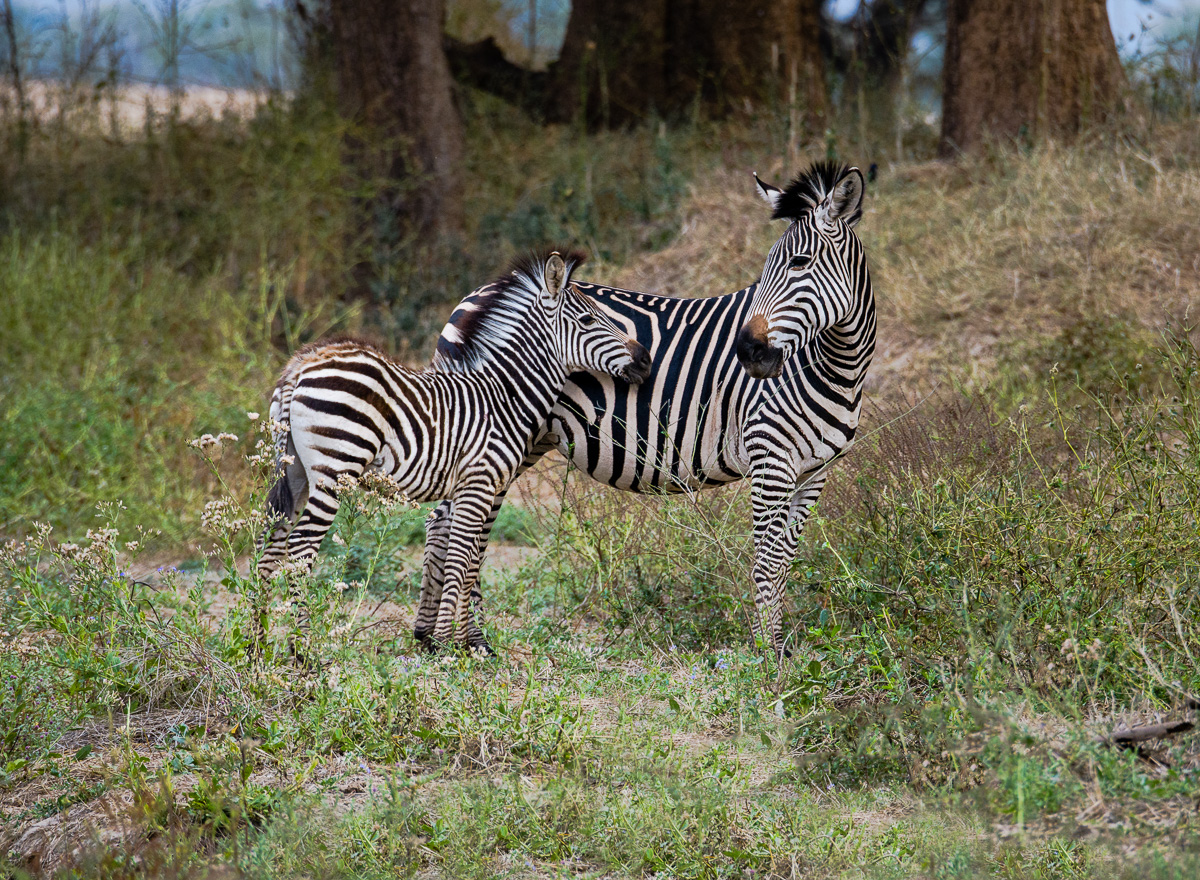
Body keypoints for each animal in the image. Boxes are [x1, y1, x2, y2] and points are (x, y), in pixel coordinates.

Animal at [256, 250, 652, 650]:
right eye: (588, 320)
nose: (646, 359)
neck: (504, 397)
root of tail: (302, 364)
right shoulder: (478, 483)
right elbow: (460, 559)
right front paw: (447, 643)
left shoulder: (475, 487)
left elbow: (467, 557)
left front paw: (452, 640)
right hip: (335, 469)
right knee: (300, 548)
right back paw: (303, 648)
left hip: (293, 469)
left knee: (270, 540)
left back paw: (258, 644)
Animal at [415, 162, 874, 659]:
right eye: (766, 269)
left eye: (799, 263)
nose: (749, 353)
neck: (837, 365)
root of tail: (474, 295)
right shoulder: (770, 457)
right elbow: (767, 560)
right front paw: (767, 653)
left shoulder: (817, 469)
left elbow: (786, 555)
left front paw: (781, 644)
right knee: (456, 524)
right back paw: (462, 641)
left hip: (519, 440)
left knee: (461, 524)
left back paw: (442, 637)